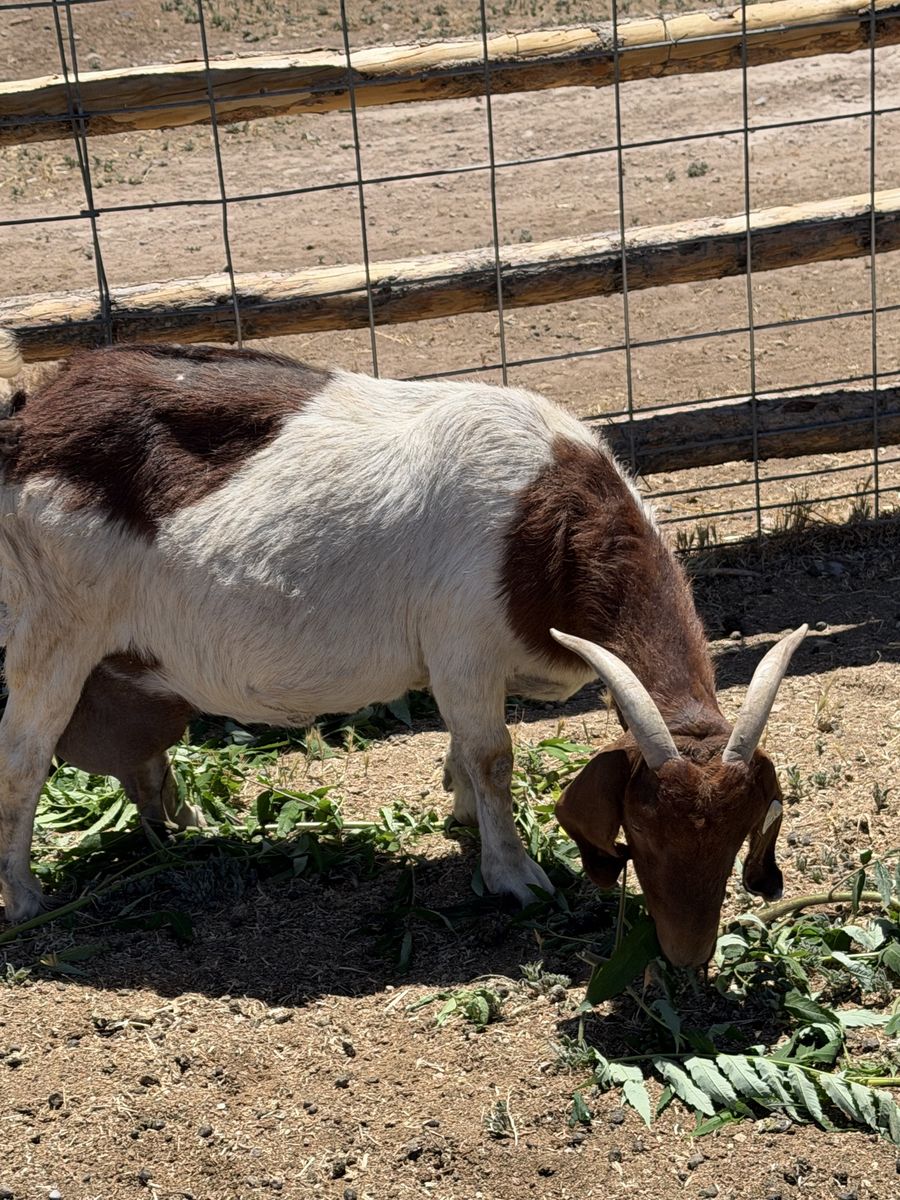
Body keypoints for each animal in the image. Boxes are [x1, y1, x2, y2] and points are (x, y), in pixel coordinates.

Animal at [0, 331, 804, 965]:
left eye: (737, 837)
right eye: (641, 832)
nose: (686, 956)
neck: (540, 520)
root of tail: (27, 420)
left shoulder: (467, 664)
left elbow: (465, 753)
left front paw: (464, 817)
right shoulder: (463, 646)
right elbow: (494, 757)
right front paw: (514, 876)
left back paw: (181, 826)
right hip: (53, 626)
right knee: (23, 754)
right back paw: (25, 896)